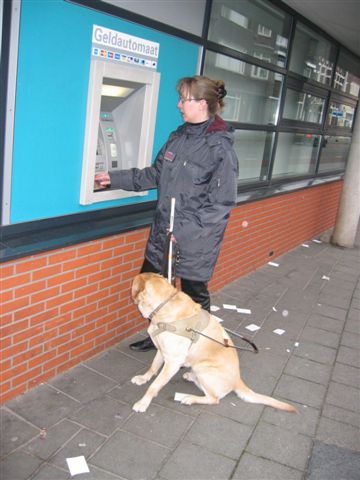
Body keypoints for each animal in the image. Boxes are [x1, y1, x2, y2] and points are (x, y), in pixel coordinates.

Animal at [131, 272, 296, 414]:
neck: (163, 306)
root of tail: (238, 380)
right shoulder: (162, 350)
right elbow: (153, 367)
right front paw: (143, 378)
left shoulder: (173, 361)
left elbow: (155, 385)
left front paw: (143, 403)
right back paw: (190, 377)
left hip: (204, 368)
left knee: (214, 399)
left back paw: (190, 398)